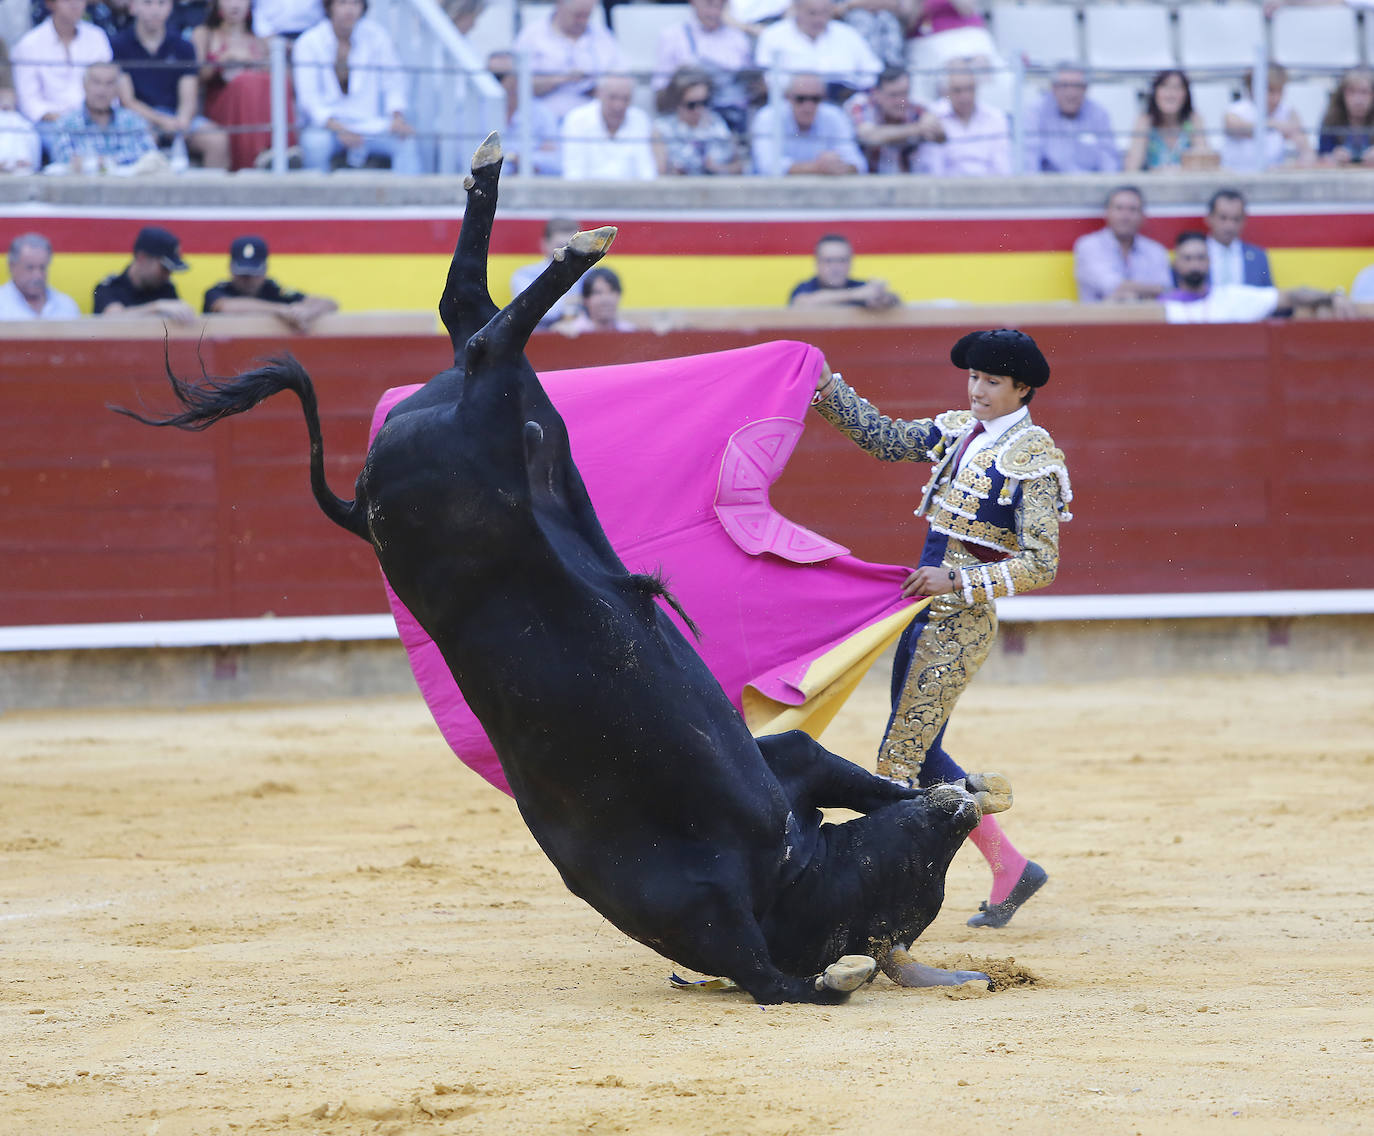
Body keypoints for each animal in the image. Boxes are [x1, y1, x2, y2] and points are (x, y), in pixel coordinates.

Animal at [118, 135, 1016, 1005]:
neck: (788, 866)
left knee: (469, 317)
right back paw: (575, 241)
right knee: (484, 334)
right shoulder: (727, 900)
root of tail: (361, 494)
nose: (959, 811)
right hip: (480, 443)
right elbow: (782, 981)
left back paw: (512, 191)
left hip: (528, 420)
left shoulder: (788, 763)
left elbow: (852, 789)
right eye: (913, 876)